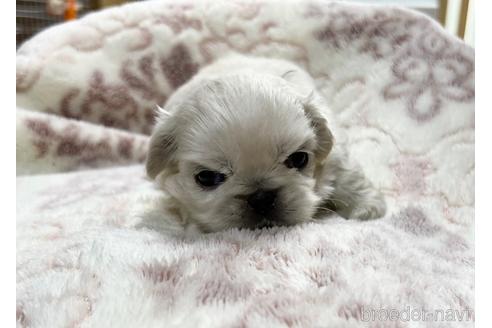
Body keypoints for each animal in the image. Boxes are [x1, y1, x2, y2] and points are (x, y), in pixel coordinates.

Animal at [146, 54, 384, 233]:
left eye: (299, 159)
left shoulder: (336, 153)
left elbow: (349, 177)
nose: (261, 197)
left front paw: (368, 209)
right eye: (207, 177)